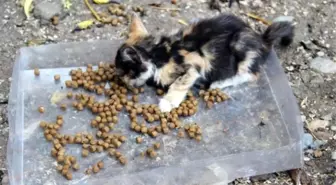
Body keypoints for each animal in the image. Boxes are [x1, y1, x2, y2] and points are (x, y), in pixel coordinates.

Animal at [115, 13, 294, 112]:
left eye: (125, 72)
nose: (123, 82)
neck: (158, 52)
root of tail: (262, 39)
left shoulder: (195, 64)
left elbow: (180, 82)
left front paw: (167, 103)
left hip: (240, 44)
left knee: (251, 74)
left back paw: (218, 83)